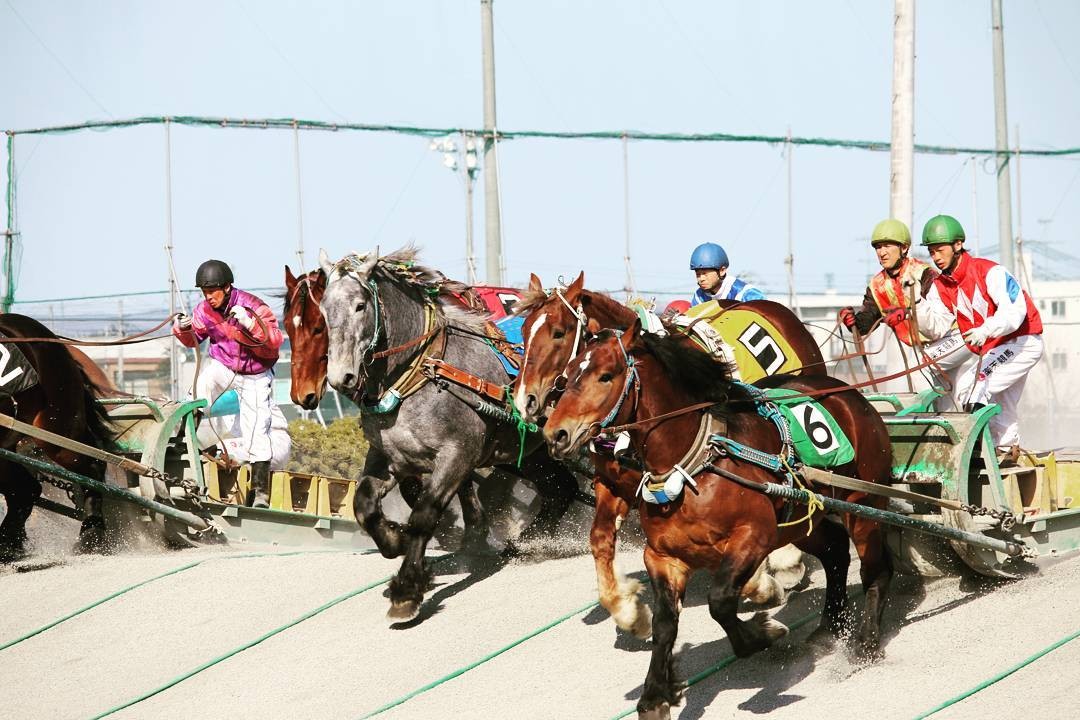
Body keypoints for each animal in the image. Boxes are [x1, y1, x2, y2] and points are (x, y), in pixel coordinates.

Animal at [315, 248, 578, 621]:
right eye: (324, 310)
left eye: (360, 306)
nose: (342, 377)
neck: (423, 372)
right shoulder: (390, 455)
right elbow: (364, 504)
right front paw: (394, 540)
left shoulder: (457, 454)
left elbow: (425, 514)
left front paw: (407, 590)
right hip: (527, 453)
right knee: (561, 488)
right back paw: (529, 540)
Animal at [509, 273, 820, 639]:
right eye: (524, 329)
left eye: (558, 332)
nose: (524, 400)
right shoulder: (614, 482)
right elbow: (600, 538)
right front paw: (628, 611)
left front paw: (763, 583)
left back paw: (787, 559)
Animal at [548, 323, 894, 716]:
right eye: (567, 376)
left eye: (606, 375)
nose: (556, 433)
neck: (694, 465)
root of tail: (850, 395)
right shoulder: (663, 557)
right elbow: (666, 624)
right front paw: (654, 693)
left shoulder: (754, 535)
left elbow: (720, 599)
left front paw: (761, 633)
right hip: (802, 520)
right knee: (835, 553)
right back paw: (828, 628)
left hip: (864, 505)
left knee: (875, 568)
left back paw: (866, 643)